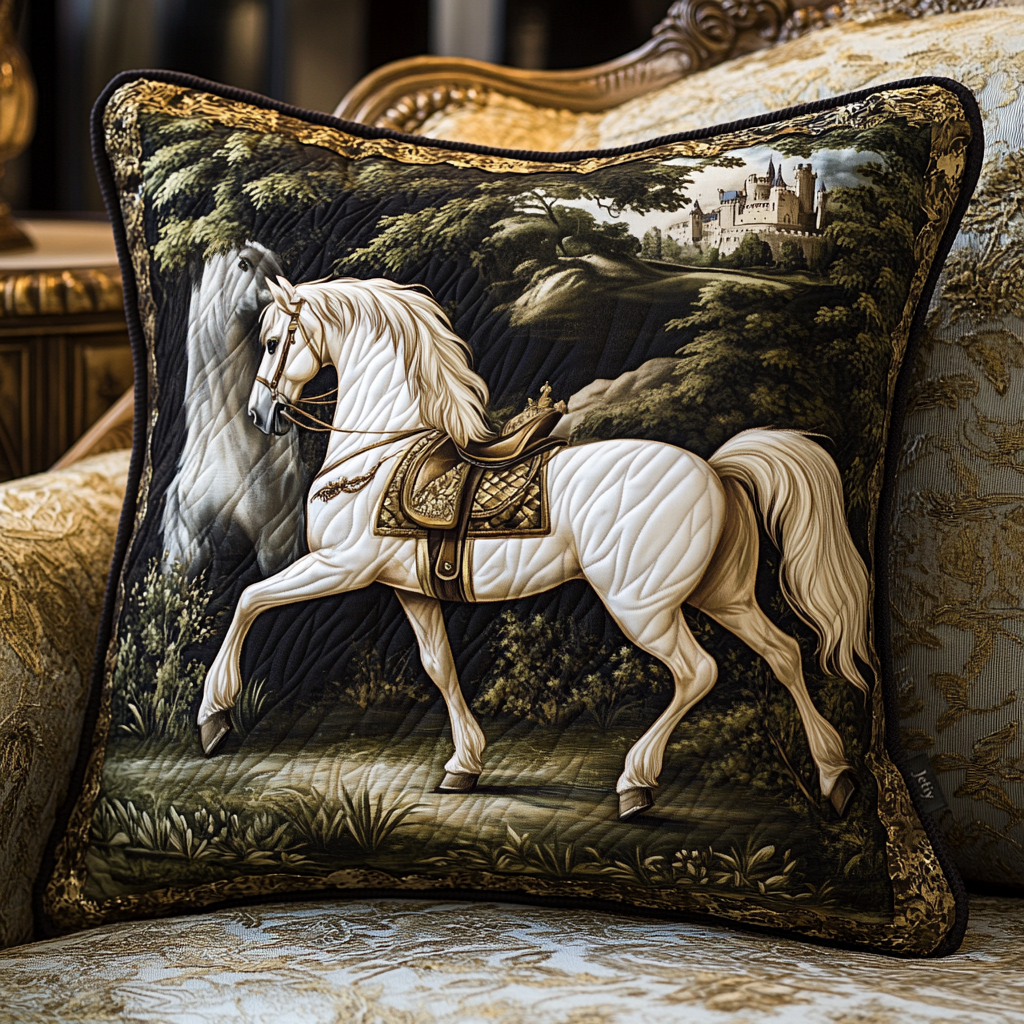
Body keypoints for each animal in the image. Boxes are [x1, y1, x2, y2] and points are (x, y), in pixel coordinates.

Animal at [197, 274, 873, 821]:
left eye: (273, 341)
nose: (259, 414)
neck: (378, 455)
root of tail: (716, 471)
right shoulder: (408, 591)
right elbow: (439, 667)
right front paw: (463, 766)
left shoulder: (342, 567)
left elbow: (250, 600)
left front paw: (214, 716)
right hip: (722, 595)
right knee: (786, 654)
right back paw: (836, 777)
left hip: (641, 604)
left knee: (697, 672)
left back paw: (636, 783)